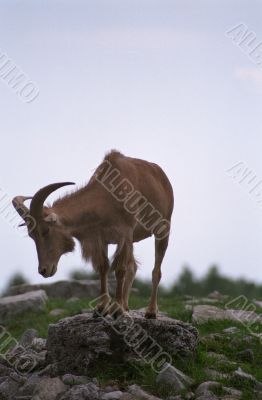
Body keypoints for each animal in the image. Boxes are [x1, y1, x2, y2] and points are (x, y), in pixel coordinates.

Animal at [12, 151, 174, 318]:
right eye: (32, 235)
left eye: (46, 230)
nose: (43, 270)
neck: (106, 197)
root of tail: (162, 175)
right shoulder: (101, 237)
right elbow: (103, 267)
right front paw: (101, 308)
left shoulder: (125, 233)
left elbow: (120, 269)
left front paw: (116, 308)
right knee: (133, 266)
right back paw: (126, 306)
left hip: (163, 228)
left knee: (156, 271)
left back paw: (150, 311)